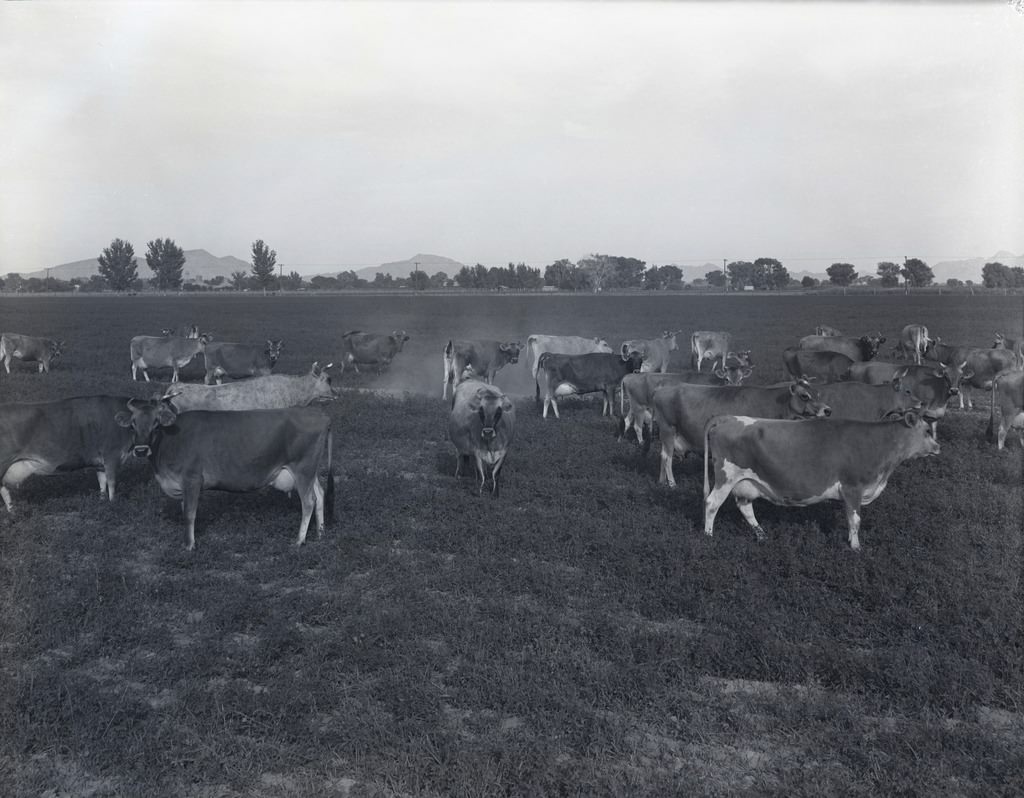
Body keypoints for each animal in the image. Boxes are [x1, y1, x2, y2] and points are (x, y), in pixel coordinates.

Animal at [0, 395, 136, 512]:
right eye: (135, 421)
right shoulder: (111, 456)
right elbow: (112, 483)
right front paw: (113, 504)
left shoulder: (100, 463)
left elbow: (102, 482)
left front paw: (102, 501)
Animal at [117, 403, 331, 553]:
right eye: (133, 425)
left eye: (156, 424)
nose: (141, 450)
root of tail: (319, 414)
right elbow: (184, 510)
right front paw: (187, 539)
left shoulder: (192, 479)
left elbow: (189, 514)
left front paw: (189, 545)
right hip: (310, 471)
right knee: (320, 494)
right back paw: (320, 533)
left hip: (303, 468)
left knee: (308, 501)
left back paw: (299, 540)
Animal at [651, 379, 835, 487]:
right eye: (805, 396)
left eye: (818, 393)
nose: (828, 410)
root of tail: (661, 389)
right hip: (668, 429)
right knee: (667, 457)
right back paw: (672, 484)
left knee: (662, 455)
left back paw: (661, 482)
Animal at [704, 411, 937, 549]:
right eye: (927, 430)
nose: (938, 447)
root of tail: (727, 417)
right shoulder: (853, 487)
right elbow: (855, 520)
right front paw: (856, 548)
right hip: (726, 476)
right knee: (712, 503)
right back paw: (708, 537)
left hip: (746, 482)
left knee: (745, 507)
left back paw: (762, 535)